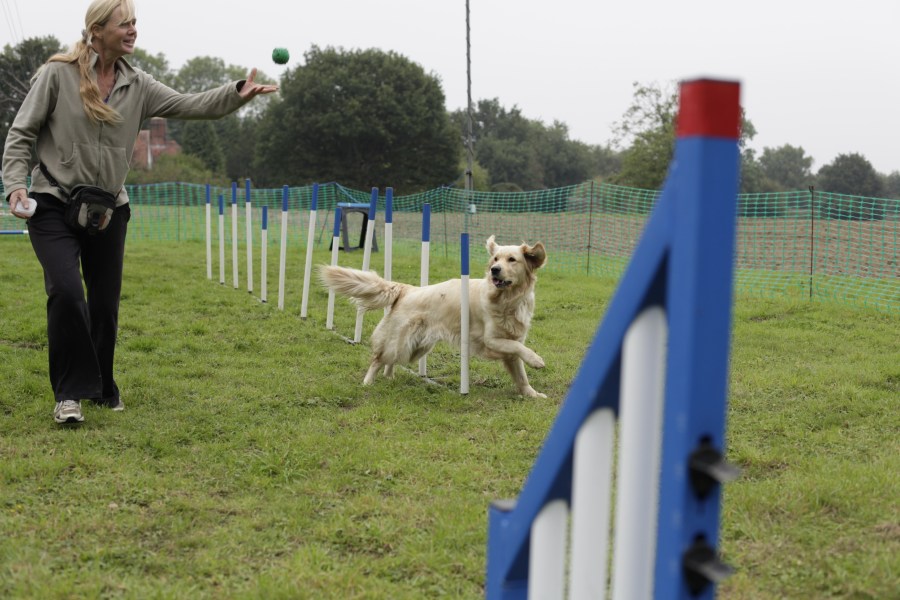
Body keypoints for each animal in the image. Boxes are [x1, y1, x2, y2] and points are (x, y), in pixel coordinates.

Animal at [318, 235, 548, 397]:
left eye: (512, 260)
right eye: (495, 259)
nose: (494, 270)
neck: (508, 300)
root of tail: (407, 289)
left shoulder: (512, 340)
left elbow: (520, 374)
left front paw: (532, 394)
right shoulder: (490, 340)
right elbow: (518, 349)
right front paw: (536, 360)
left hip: (416, 346)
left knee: (391, 361)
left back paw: (389, 378)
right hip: (401, 340)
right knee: (378, 359)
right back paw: (367, 383)